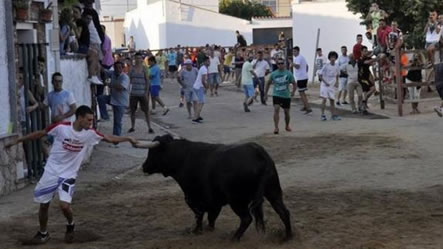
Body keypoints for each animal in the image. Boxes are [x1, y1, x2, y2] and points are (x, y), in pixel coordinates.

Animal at [142, 135, 294, 240]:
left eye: (153, 153)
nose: (144, 166)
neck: (182, 158)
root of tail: (259, 153)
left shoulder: (192, 198)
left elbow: (199, 215)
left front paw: (196, 231)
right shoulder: (214, 201)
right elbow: (211, 216)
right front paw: (209, 229)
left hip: (237, 201)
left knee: (246, 218)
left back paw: (234, 238)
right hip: (273, 191)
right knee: (283, 212)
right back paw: (287, 237)